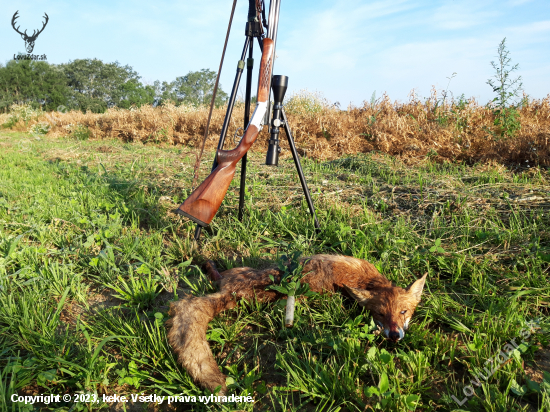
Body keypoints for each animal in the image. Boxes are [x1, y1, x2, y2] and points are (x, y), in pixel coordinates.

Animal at [166, 254, 430, 392]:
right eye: (381, 315)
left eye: (404, 312)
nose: (394, 335)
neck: (367, 280)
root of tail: (232, 294)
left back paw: (208, 266)